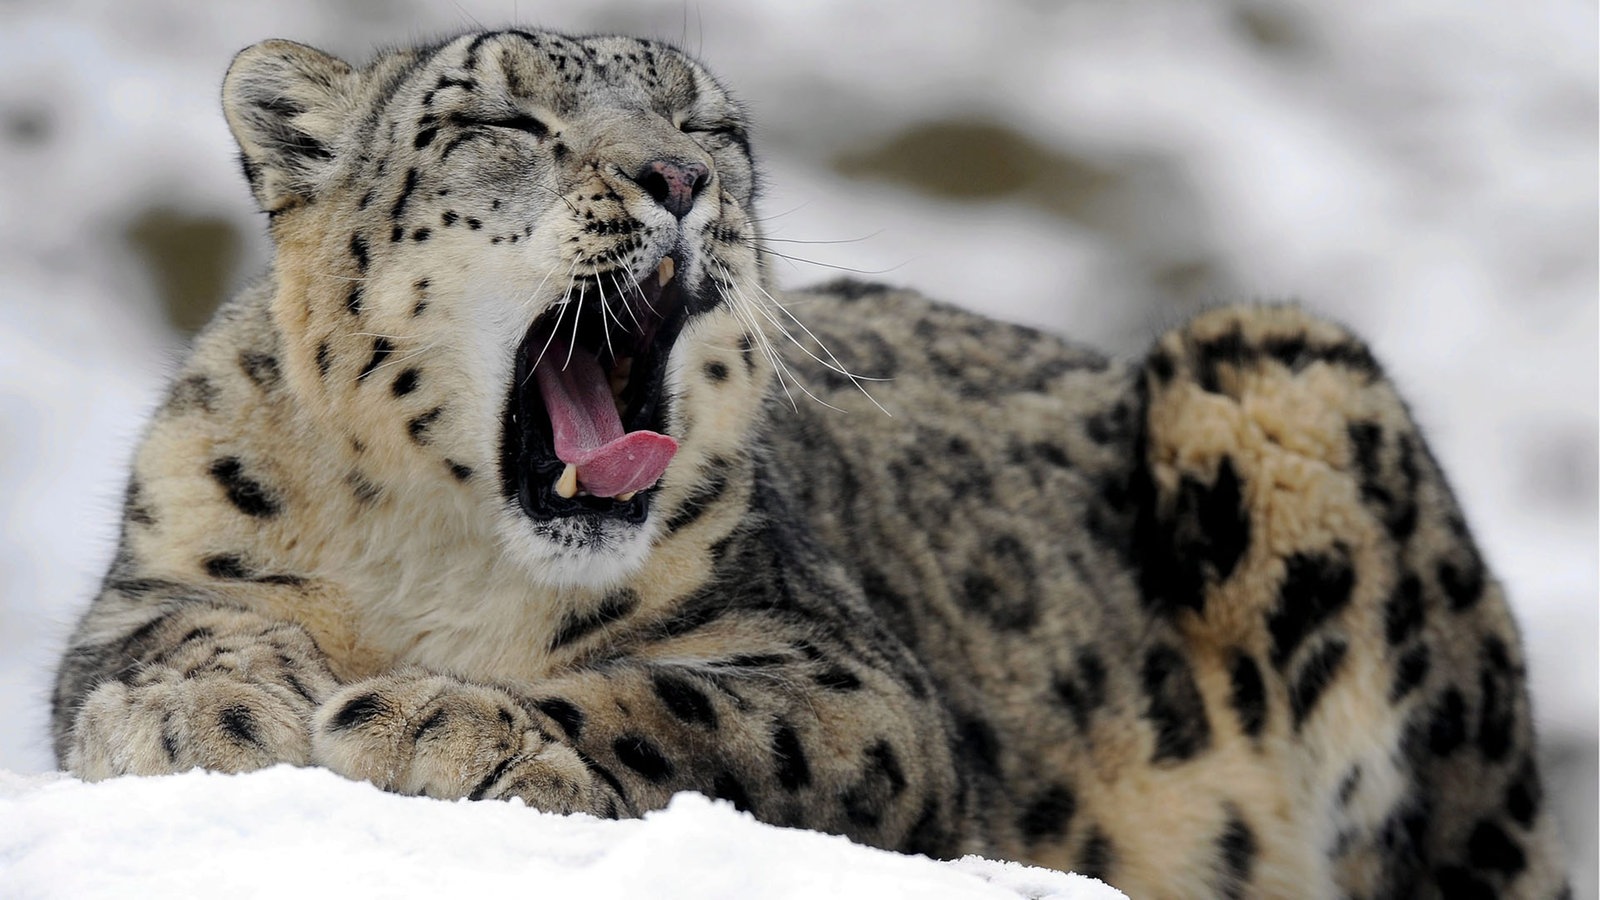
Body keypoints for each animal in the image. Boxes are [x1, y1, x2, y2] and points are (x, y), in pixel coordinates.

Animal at [50, 28, 1561, 896]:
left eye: (706, 124)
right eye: (506, 126)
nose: (679, 182)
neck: (446, 562)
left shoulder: (848, 674)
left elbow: (689, 701)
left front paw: (456, 722)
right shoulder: (160, 564)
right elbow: (159, 642)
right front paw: (199, 713)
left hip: (1282, 376)